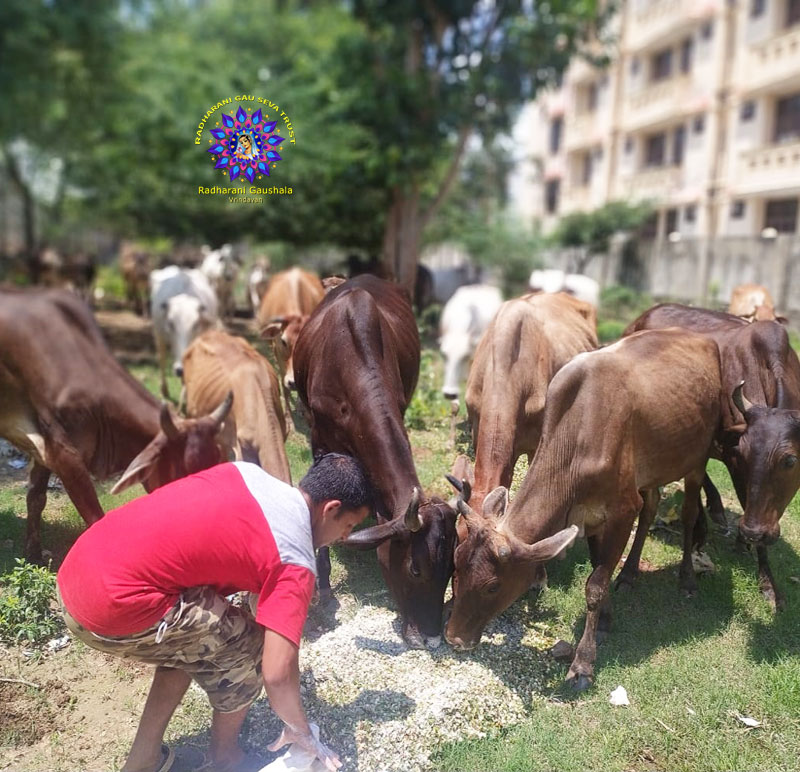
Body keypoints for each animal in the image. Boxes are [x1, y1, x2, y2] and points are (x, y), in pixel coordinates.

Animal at [0, 287, 232, 560]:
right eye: (184, 477)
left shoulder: (43, 448)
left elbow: (36, 497)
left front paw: (33, 554)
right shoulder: (63, 453)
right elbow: (95, 518)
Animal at [150, 265, 219, 399]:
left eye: (196, 324)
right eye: (170, 323)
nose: (180, 369)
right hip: (158, 335)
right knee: (162, 359)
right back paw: (164, 390)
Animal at [445, 328, 722, 689]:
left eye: (493, 585)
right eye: (456, 562)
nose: (453, 638)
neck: (575, 441)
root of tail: (702, 337)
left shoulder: (622, 509)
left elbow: (595, 584)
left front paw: (583, 664)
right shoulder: (589, 518)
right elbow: (598, 564)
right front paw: (606, 618)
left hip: (697, 460)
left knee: (688, 514)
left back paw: (687, 579)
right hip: (652, 469)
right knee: (652, 507)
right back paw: (629, 573)